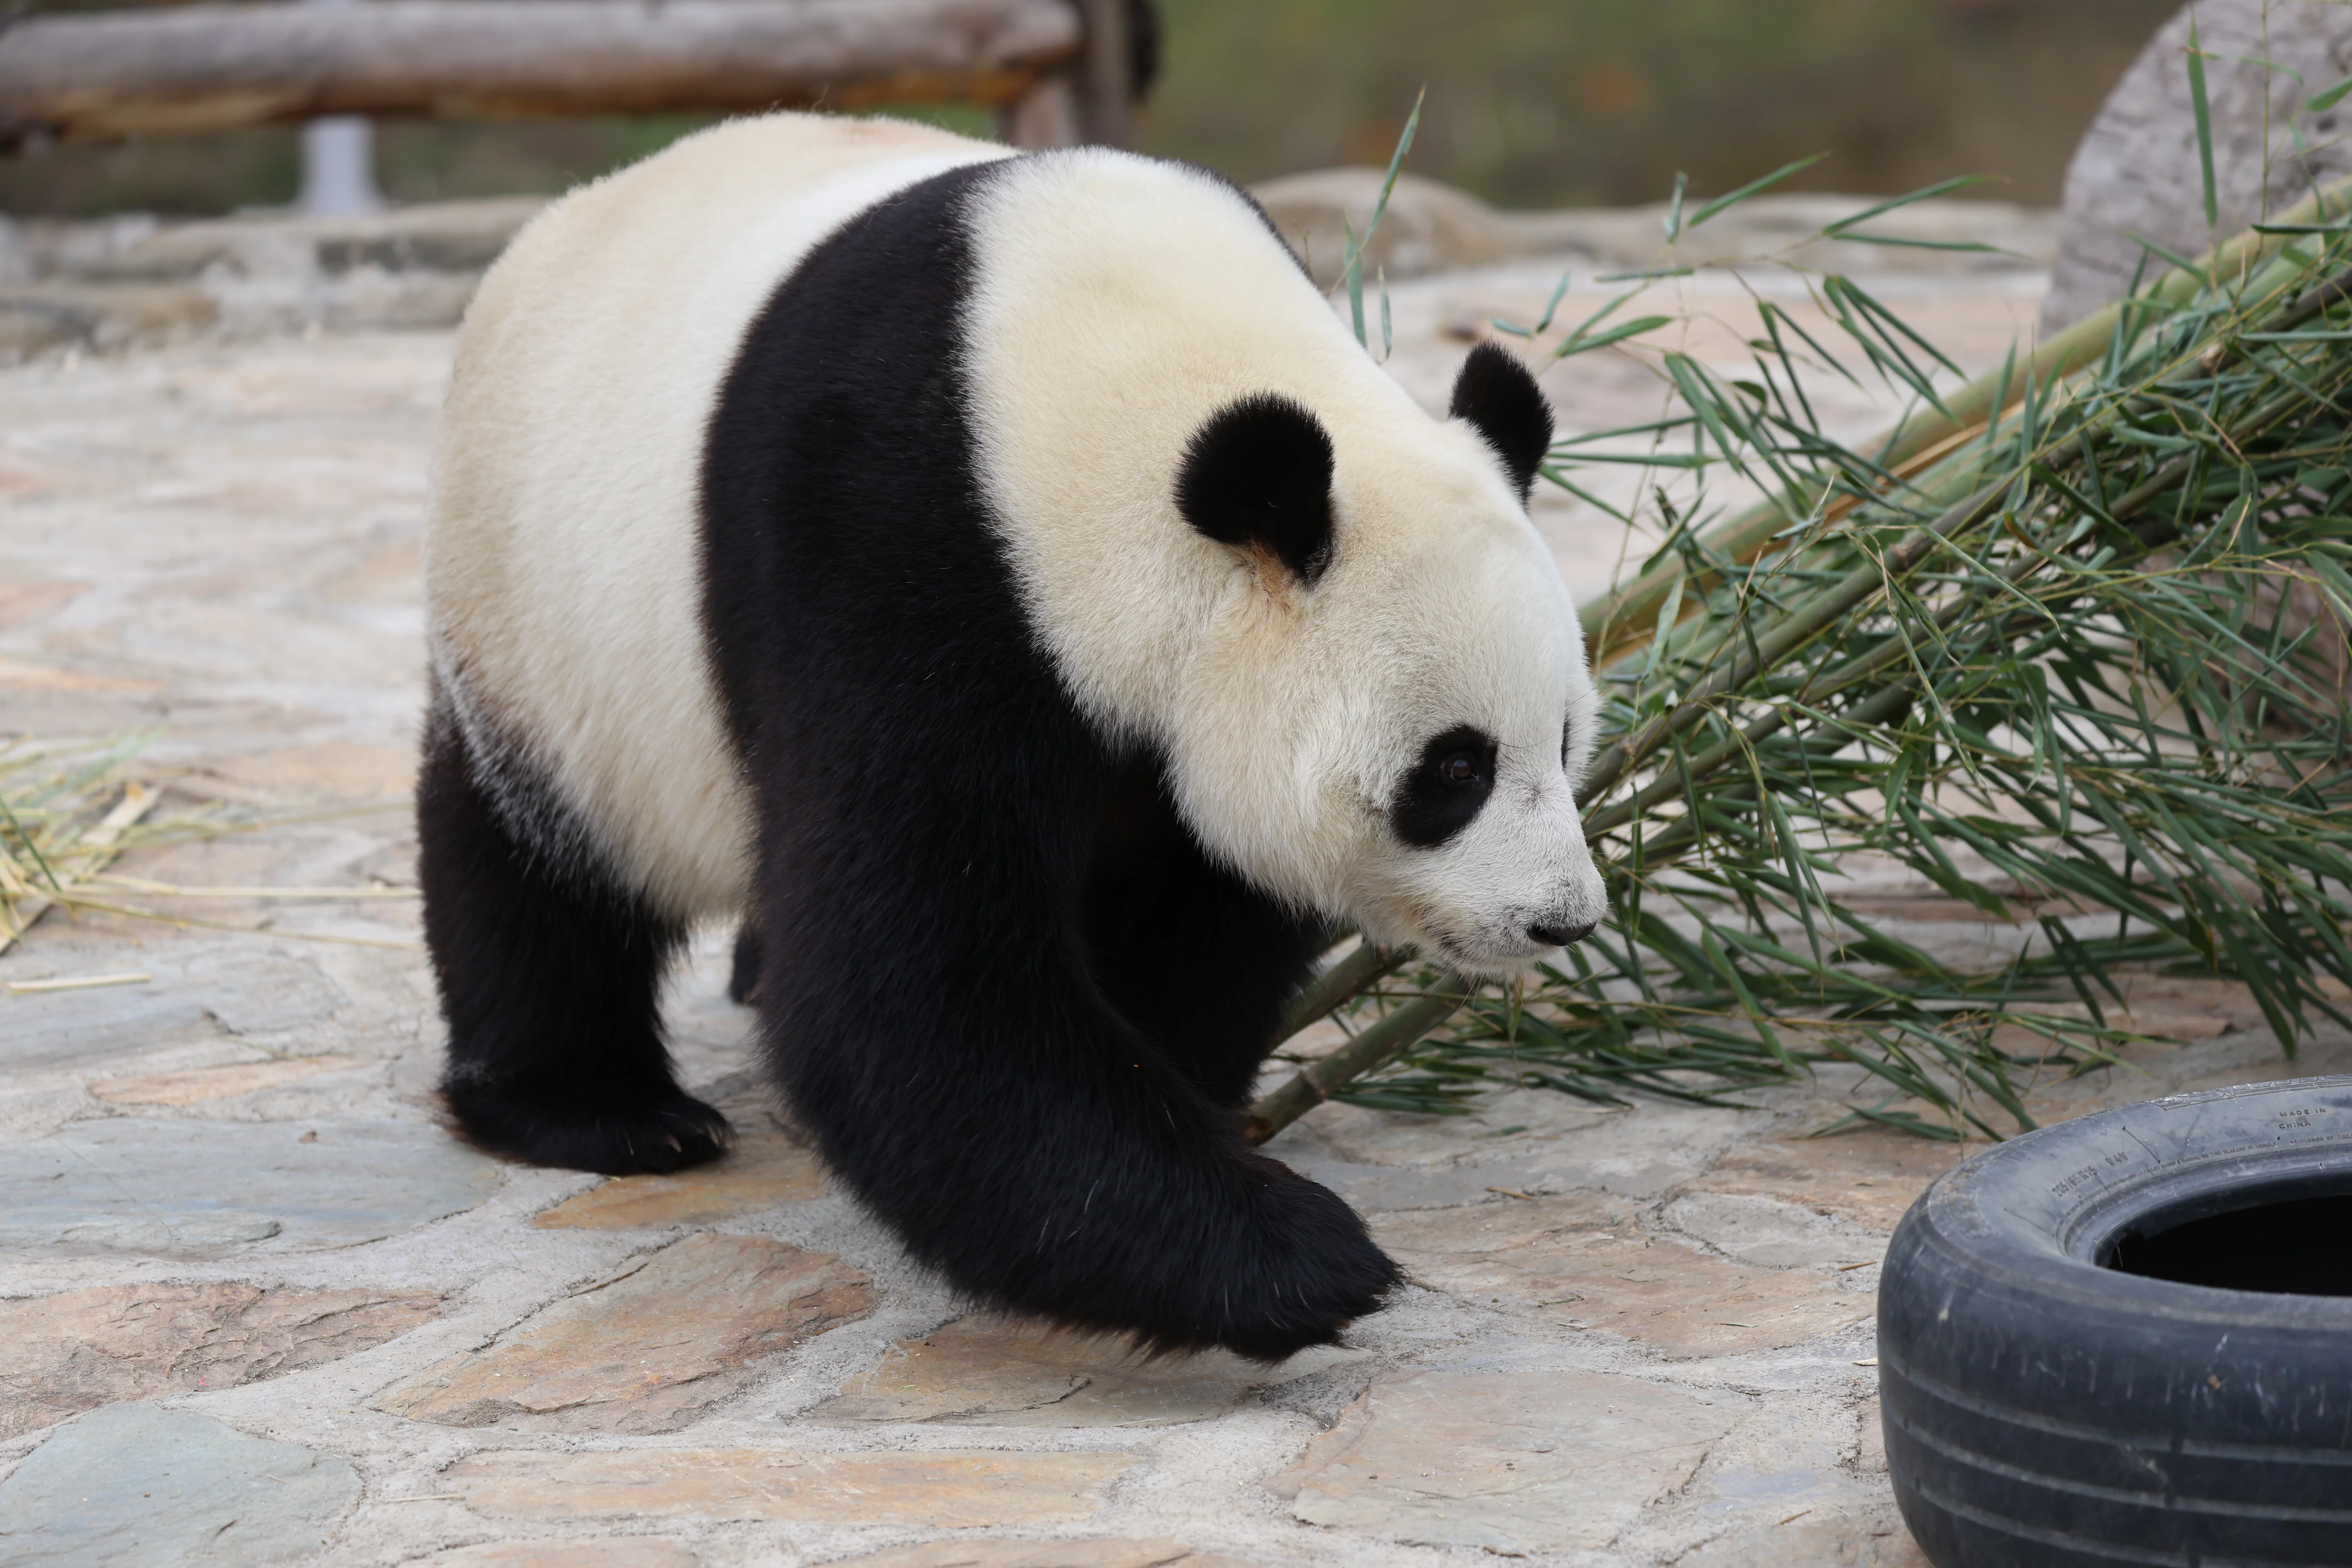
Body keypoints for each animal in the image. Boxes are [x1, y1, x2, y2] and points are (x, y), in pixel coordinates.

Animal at [420, 112, 1609, 1361]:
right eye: (1455, 769)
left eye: (1565, 739)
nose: (1562, 921)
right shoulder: (903, 543)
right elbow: (911, 977)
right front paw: (1300, 1260)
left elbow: (1197, 914)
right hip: (540, 618)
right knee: (533, 864)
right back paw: (603, 1110)